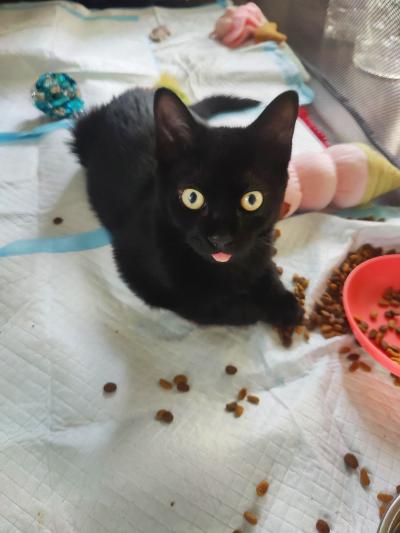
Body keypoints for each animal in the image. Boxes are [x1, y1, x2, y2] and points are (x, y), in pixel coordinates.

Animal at [72, 88, 304, 326]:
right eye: (192, 197)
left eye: (252, 199)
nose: (220, 238)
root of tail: (137, 91)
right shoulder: (134, 267)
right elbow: (207, 305)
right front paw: (254, 308)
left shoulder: (261, 245)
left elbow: (265, 268)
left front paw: (283, 302)